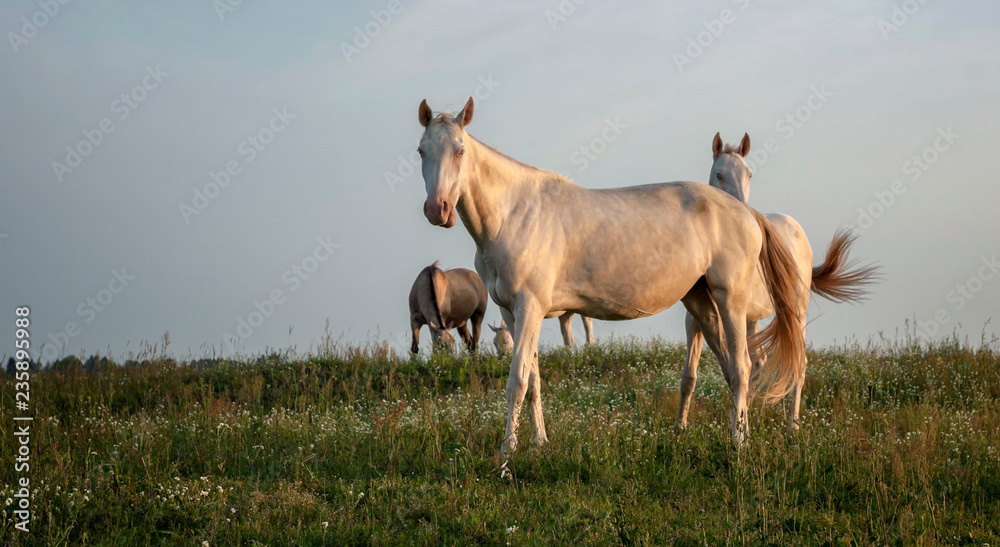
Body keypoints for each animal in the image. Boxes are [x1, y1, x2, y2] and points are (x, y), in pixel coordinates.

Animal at [416, 97, 805, 457]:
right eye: (422, 150)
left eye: (460, 150)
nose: (438, 210)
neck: (514, 212)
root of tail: (748, 212)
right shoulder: (513, 313)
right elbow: (534, 381)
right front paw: (539, 442)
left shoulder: (530, 308)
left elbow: (517, 381)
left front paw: (506, 455)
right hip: (700, 303)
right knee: (728, 367)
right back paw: (737, 433)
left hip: (731, 301)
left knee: (742, 367)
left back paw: (740, 444)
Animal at [676, 133, 880, 434]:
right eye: (719, 174)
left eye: (749, 174)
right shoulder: (695, 319)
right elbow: (690, 376)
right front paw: (680, 429)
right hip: (753, 318)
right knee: (759, 363)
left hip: (796, 312)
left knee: (799, 364)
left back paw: (793, 426)